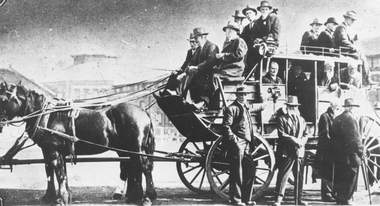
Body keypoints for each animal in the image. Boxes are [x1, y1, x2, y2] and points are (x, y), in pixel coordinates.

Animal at [0, 81, 156, 205]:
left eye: (3, 99)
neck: (48, 116)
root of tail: (143, 111)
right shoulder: (50, 151)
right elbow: (52, 171)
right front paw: (53, 196)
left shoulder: (54, 151)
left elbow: (59, 173)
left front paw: (61, 199)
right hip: (127, 149)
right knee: (133, 167)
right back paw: (134, 196)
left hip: (137, 148)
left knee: (145, 167)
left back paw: (148, 197)